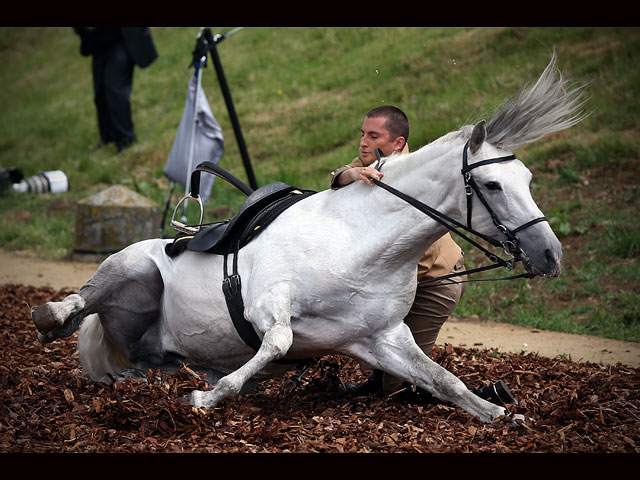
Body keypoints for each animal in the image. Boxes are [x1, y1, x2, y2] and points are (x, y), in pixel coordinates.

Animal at [32, 54, 588, 426]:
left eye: (528, 179)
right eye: (492, 185)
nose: (550, 255)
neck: (363, 247)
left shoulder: (381, 338)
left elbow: (442, 379)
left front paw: (503, 413)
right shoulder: (266, 303)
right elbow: (278, 341)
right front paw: (210, 398)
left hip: (149, 351)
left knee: (142, 362)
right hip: (133, 267)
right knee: (80, 302)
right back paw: (51, 315)